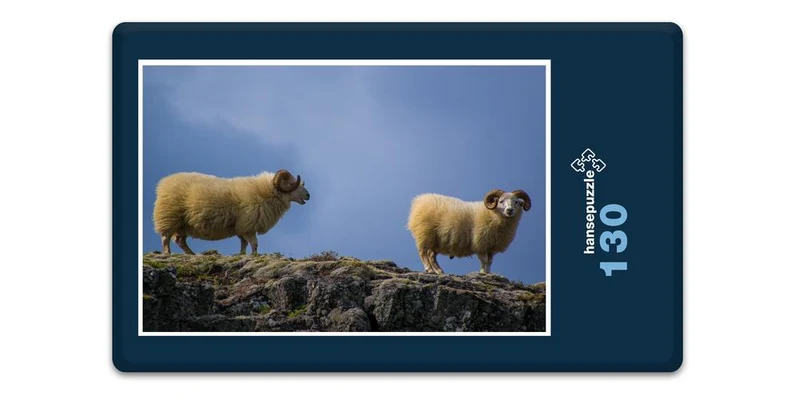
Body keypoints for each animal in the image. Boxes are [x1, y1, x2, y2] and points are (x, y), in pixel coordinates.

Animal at [152, 169, 310, 255]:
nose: (308, 195)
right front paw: (254, 256)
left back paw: (192, 254)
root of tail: (164, 183)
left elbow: (244, 243)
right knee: (166, 237)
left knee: (180, 240)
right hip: (169, 217)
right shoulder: (249, 225)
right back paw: (167, 253)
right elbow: (254, 244)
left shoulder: (241, 227)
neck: (267, 192)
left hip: (183, 224)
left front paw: (242, 255)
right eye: (291, 184)